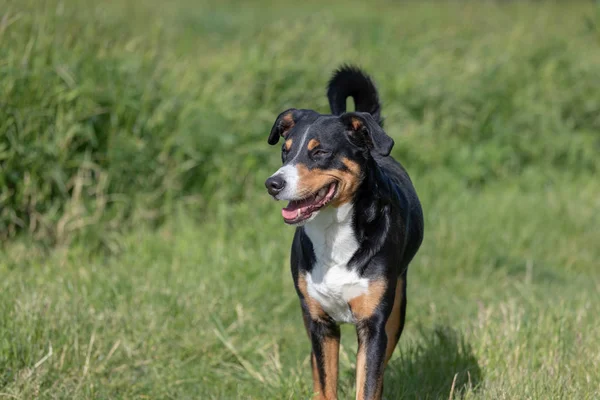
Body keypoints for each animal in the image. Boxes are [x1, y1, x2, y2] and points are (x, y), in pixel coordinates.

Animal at [264, 66, 424, 400]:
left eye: (320, 152)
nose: (273, 183)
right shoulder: (320, 324)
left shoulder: (374, 326)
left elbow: (368, 385)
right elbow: (325, 383)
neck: (332, 233)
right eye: (285, 152)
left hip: (397, 311)